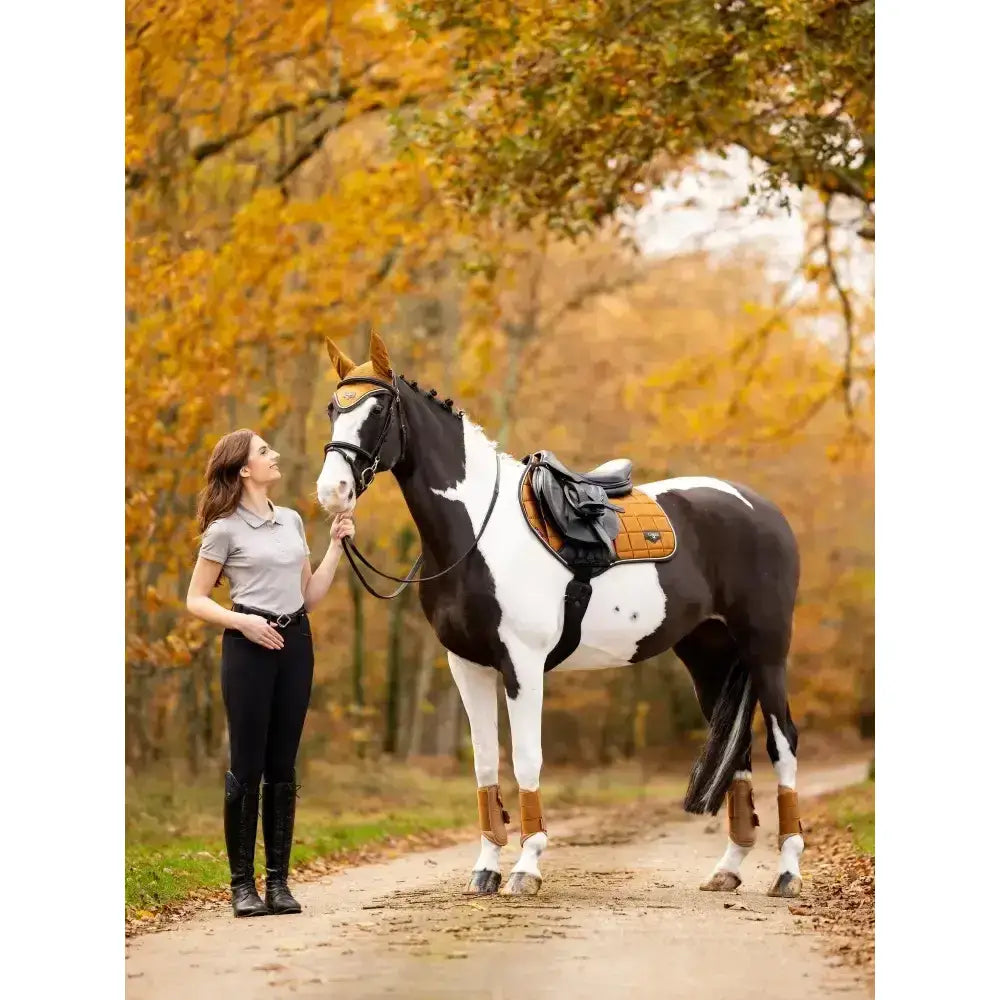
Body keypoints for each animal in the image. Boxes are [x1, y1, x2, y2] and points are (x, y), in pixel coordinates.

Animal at [316, 329, 804, 899]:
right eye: (333, 408)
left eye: (378, 409)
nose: (332, 492)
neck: (478, 532)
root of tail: (763, 509)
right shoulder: (468, 666)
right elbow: (485, 762)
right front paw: (485, 869)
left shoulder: (522, 665)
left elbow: (527, 759)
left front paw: (526, 867)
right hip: (709, 657)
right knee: (739, 750)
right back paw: (728, 868)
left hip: (766, 652)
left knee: (782, 742)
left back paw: (788, 872)